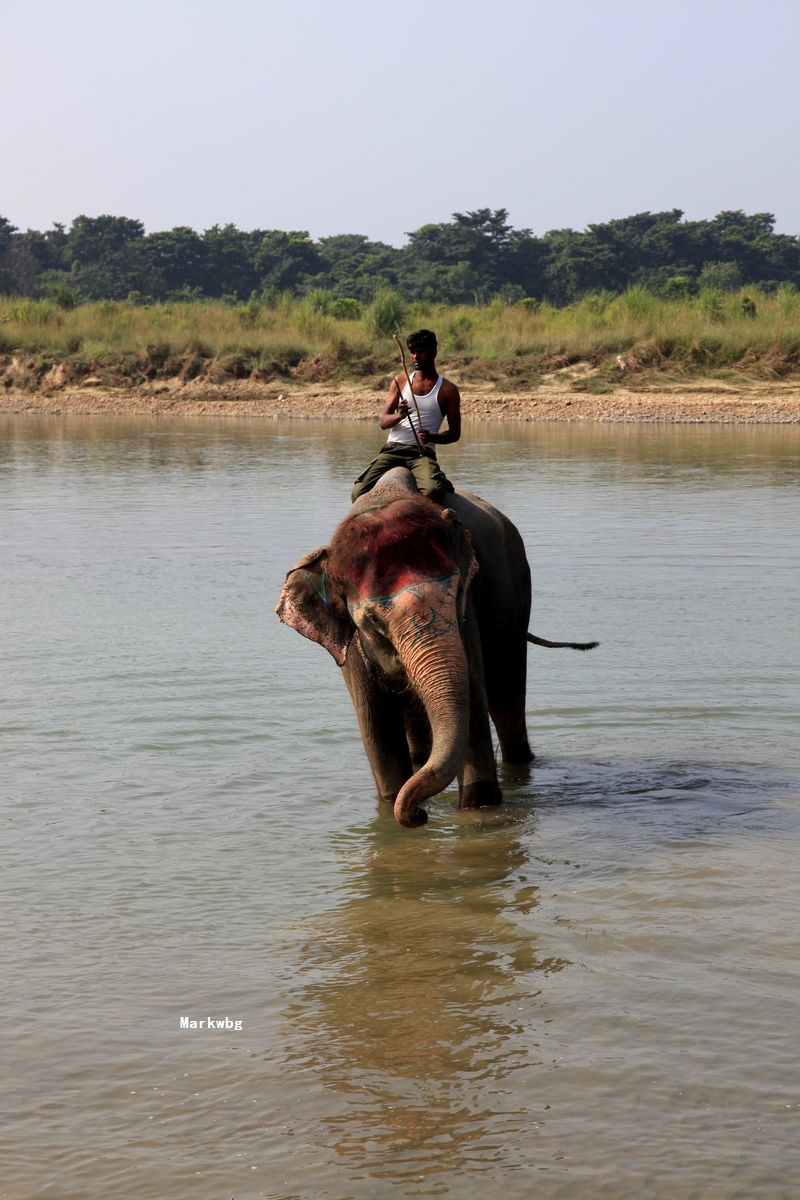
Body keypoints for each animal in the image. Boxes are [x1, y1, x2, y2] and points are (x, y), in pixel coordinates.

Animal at [275, 465, 594, 825]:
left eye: (456, 595)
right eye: (373, 622)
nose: (420, 814)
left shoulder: (467, 617)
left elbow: (472, 703)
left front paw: (478, 810)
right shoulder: (351, 649)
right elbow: (377, 729)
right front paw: (393, 806)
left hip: (519, 601)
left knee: (507, 695)